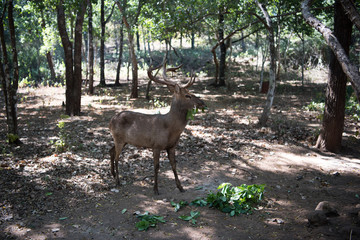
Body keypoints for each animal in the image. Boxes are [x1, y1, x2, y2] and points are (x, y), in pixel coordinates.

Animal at [108, 60, 207, 195]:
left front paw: (180, 187)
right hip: (118, 138)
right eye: (188, 95)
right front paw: (155, 189)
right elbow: (156, 166)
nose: (203, 103)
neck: (171, 129)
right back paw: (117, 181)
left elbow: (174, 165)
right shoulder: (156, 145)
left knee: (111, 151)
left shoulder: (172, 146)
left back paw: (113, 175)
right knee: (117, 157)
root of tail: (110, 121)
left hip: (123, 140)